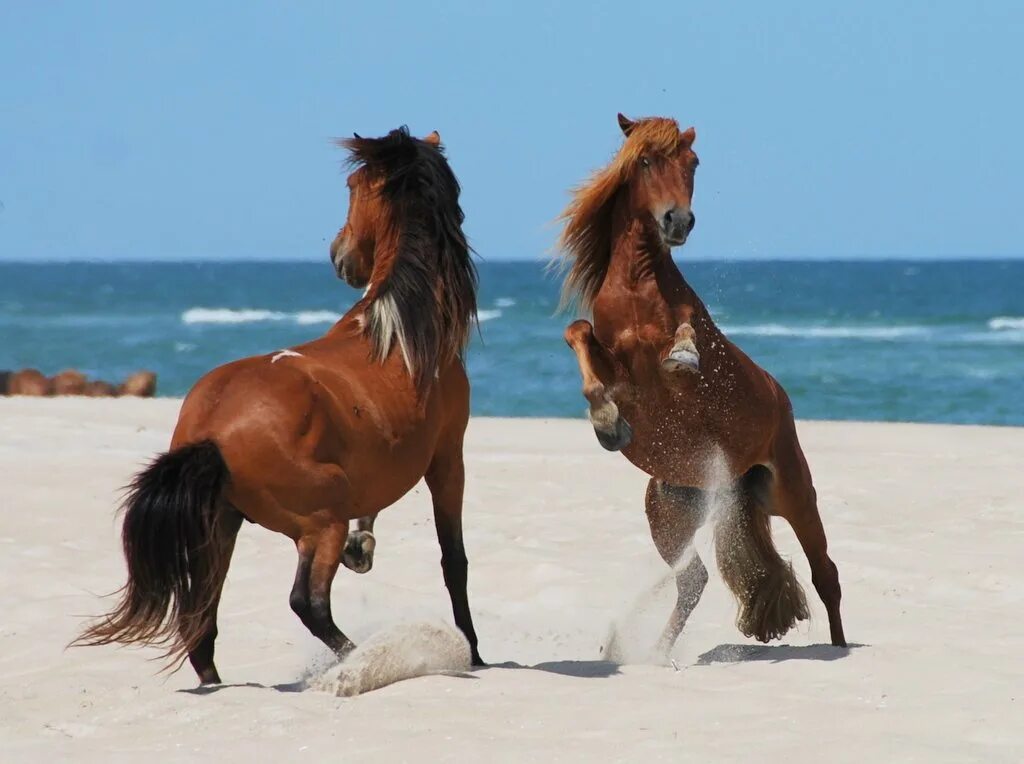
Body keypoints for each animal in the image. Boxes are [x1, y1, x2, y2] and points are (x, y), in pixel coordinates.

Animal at [75, 128, 483, 680]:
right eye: (351, 186)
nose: (339, 254)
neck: (399, 329)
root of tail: (211, 429)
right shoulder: (446, 458)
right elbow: (453, 561)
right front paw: (475, 649)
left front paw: (363, 547)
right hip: (319, 522)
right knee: (306, 603)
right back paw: (360, 659)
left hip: (219, 528)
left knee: (201, 623)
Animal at [557, 114, 843, 655]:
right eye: (646, 161)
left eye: (692, 163)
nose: (678, 221)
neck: (636, 288)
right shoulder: (619, 369)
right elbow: (578, 333)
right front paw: (606, 423)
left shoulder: (681, 380)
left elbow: (684, 340)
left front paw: (683, 354)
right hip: (669, 514)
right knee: (693, 581)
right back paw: (655, 656)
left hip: (794, 495)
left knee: (826, 575)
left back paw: (839, 647)